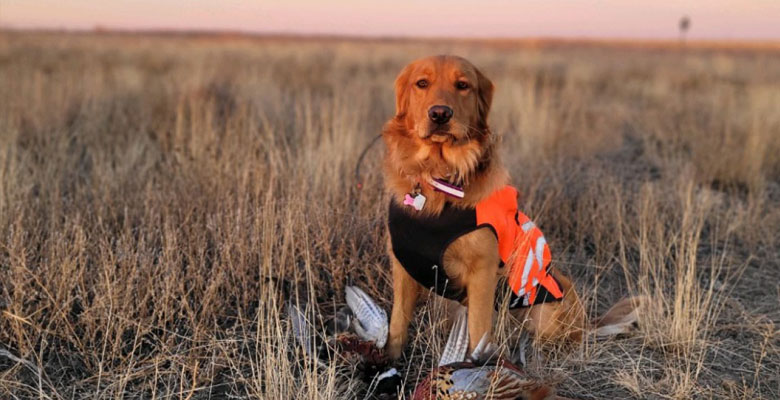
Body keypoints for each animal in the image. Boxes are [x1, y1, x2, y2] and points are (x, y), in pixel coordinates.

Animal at [380, 55, 640, 360]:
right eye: (421, 83)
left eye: (463, 85)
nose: (440, 114)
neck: (437, 177)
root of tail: (586, 321)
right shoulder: (402, 265)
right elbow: (398, 323)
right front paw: (386, 361)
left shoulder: (482, 272)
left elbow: (478, 330)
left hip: (551, 303)